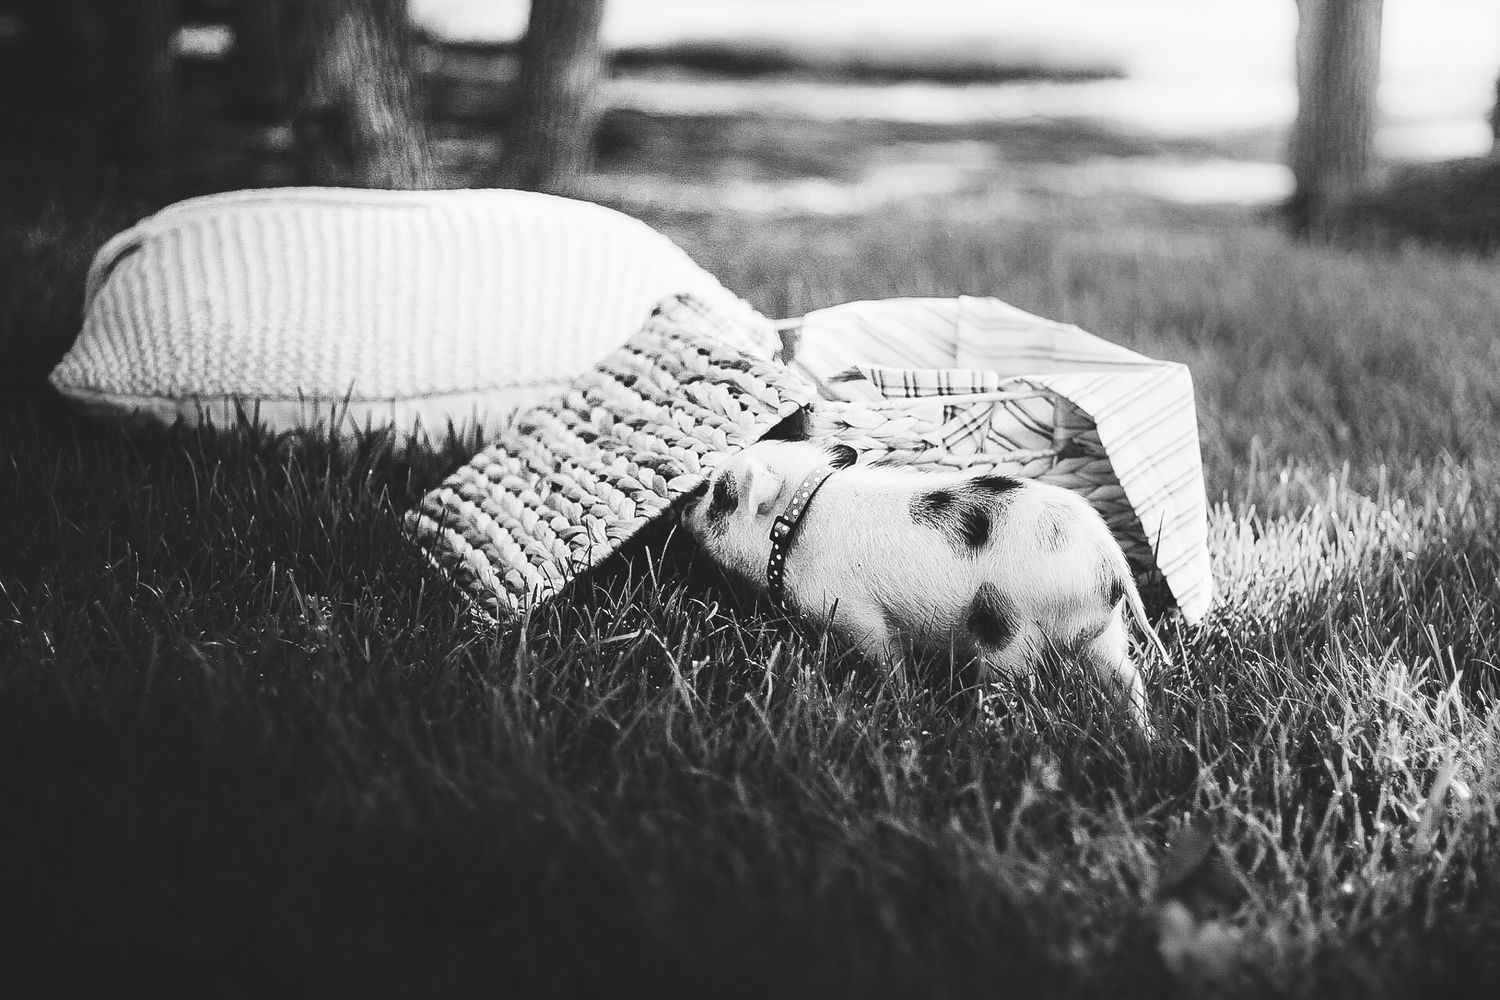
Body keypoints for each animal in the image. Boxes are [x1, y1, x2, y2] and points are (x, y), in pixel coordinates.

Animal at [678, 438, 1167, 737]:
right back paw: (1144, 736)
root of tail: (1108, 561)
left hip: (1008, 632)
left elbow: (886, 657)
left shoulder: (859, 613)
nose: (682, 508)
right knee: (1128, 678)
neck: (796, 520)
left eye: (719, 495)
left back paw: (984, 726)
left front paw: (897, 698)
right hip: (1106, 633)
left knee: (1015, 687)